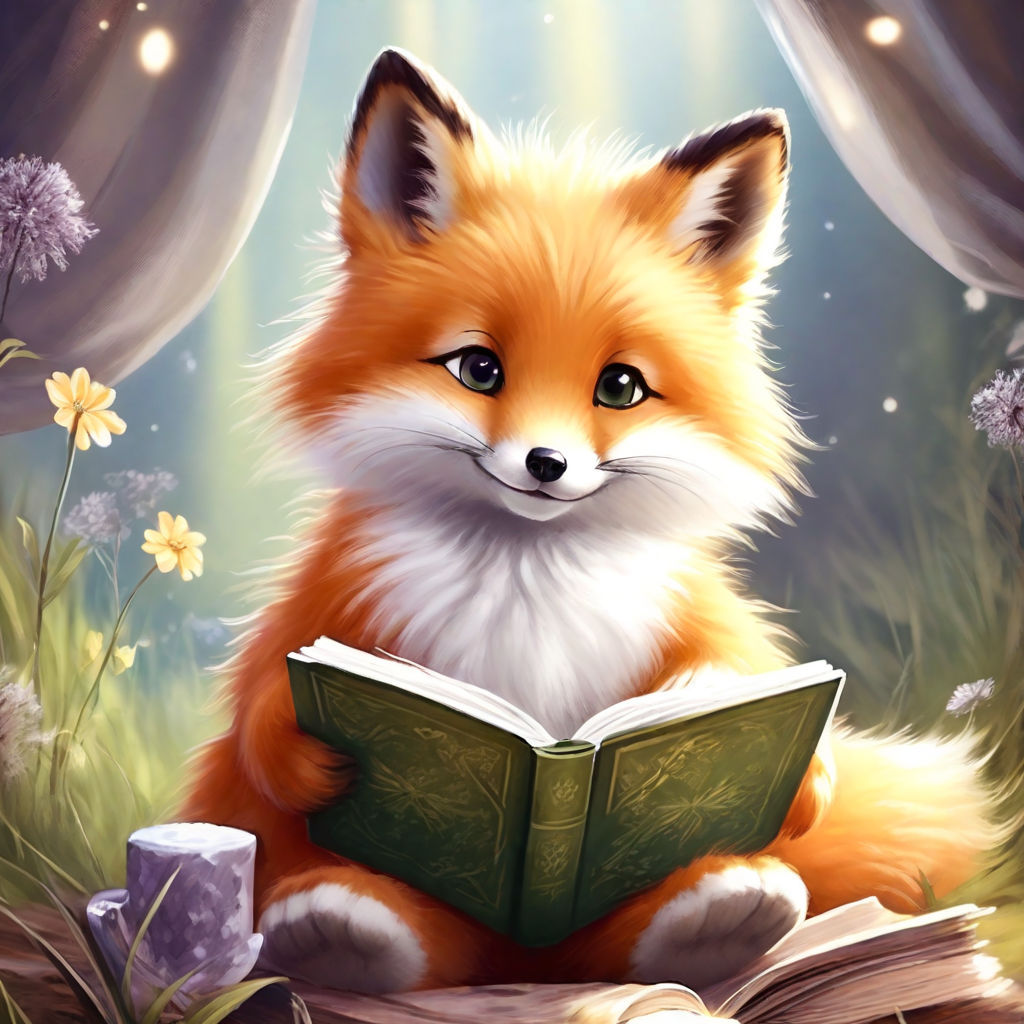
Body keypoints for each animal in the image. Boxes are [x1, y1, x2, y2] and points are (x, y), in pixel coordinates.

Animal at [183, 48, 997, 994]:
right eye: (477, 368)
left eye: (620, 387)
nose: (546, 464)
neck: (528, 586)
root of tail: (526, 957)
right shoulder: (334, 597)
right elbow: (257, 705)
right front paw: (298, 749)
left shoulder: (689, 606)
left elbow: (748, 674)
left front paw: (793, 768)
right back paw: (344, 930)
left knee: (623, 940)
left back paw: (713, 917)